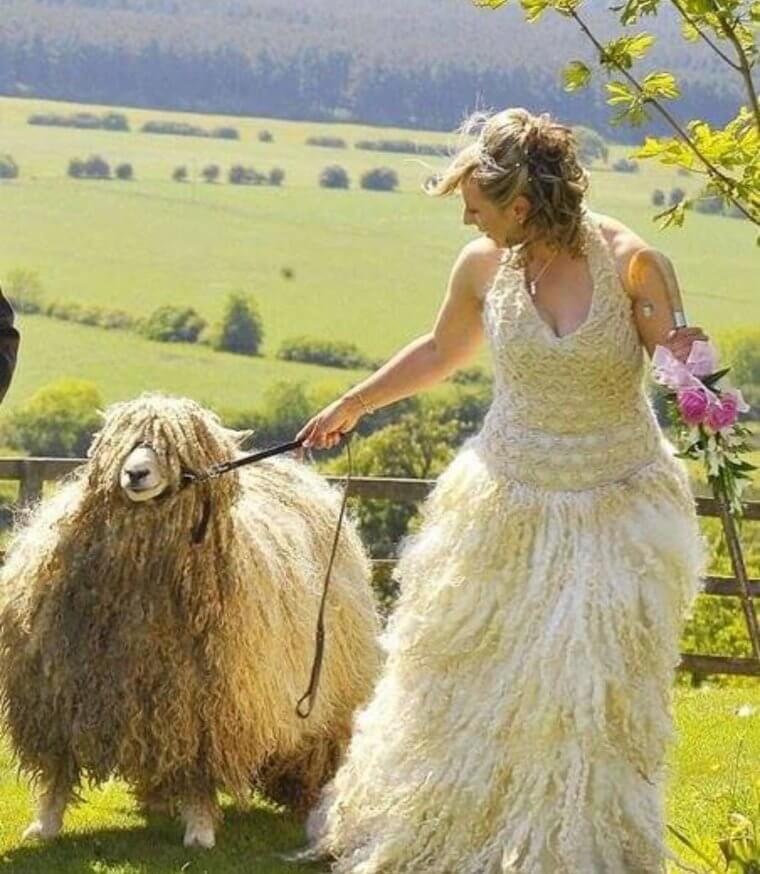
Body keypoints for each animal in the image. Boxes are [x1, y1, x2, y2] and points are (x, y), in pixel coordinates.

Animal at [0, 392, 380, 848]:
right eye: (124, 441)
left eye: (174, 448)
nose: (135, 473)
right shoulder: (61, 691)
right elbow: (58, 766)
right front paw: (45, 823)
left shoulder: (208, 704)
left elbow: (201, 771)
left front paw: (199, 828)